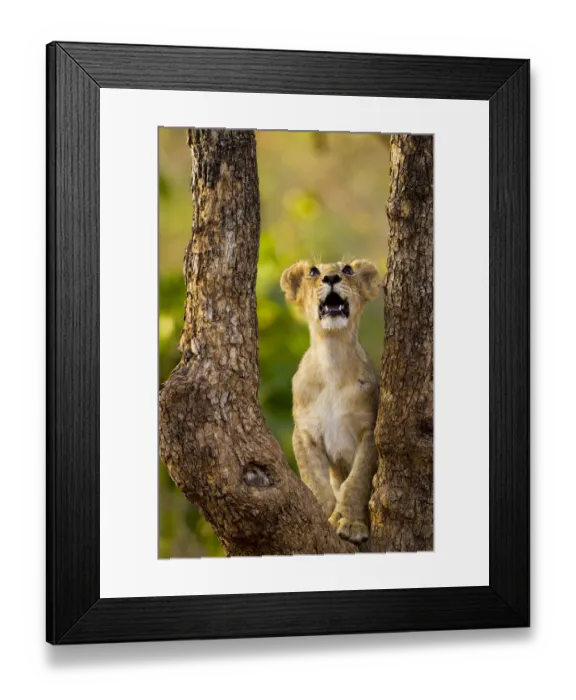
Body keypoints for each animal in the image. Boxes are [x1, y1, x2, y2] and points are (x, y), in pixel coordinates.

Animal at [280, 259, 381, 544]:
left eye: (347, 270)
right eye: (314, 272)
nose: (332, 277)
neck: (332, 357)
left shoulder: (369, 430)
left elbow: (356, 482)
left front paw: (350, 523)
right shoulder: (304, 432)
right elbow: (315, 481)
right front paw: (324, 515)